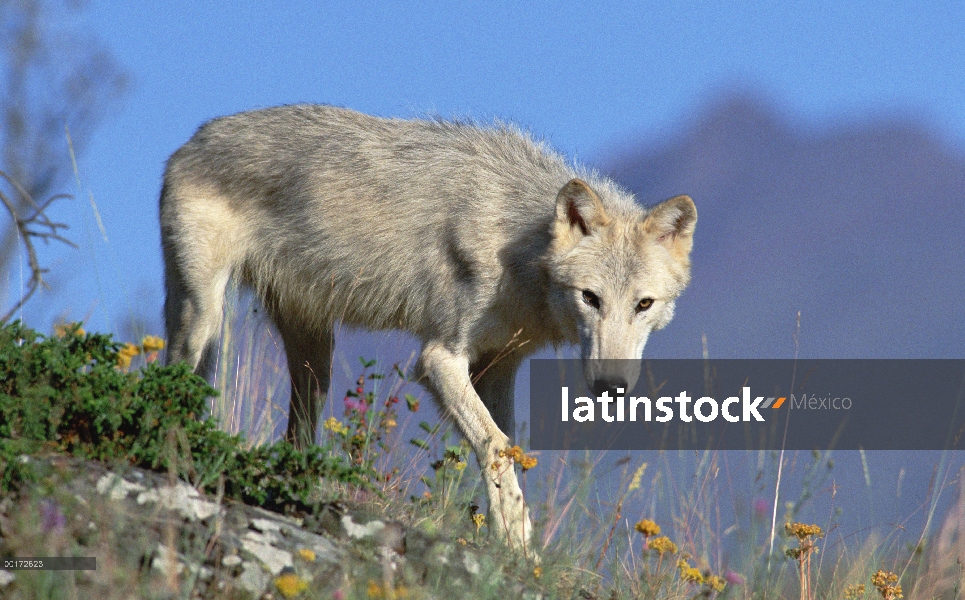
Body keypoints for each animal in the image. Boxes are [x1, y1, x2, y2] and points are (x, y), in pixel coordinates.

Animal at [162, 104, 696, 552]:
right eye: (591, 298)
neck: (519, 249)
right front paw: (516, 540)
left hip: (316, 357)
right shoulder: (439, 358)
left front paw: (515, 541)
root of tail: (193, 139)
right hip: (203, 320)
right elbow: (495, 446)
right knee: (175, 376)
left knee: (296, 432)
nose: (611, 386)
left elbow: (507, 445)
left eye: (643, 304)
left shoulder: (497, 367)